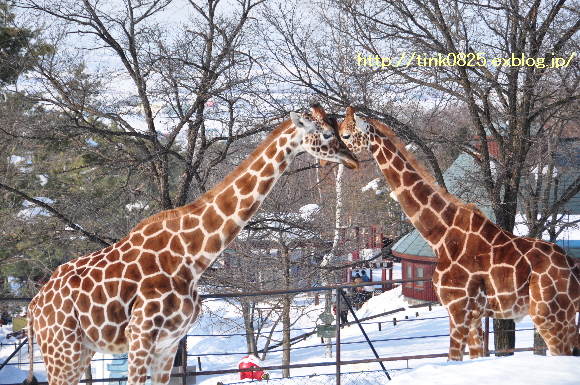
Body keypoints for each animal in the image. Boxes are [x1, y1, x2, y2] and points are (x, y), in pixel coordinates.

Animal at [22, 103, 358, 384]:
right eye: (328, 133)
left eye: (340, 127)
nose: (353, 159)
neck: (192, 256)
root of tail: (34, 305)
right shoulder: (140, 335)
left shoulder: (169, 344)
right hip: (62, 350)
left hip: (82, 349)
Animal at [340, 106, 580, 360]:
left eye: (346, 135)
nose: (342, 158)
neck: (441, 237)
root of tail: (574, 268)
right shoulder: (474, 315)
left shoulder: (458, 308)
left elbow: (452, 357)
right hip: (565, 316)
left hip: (548, 315)